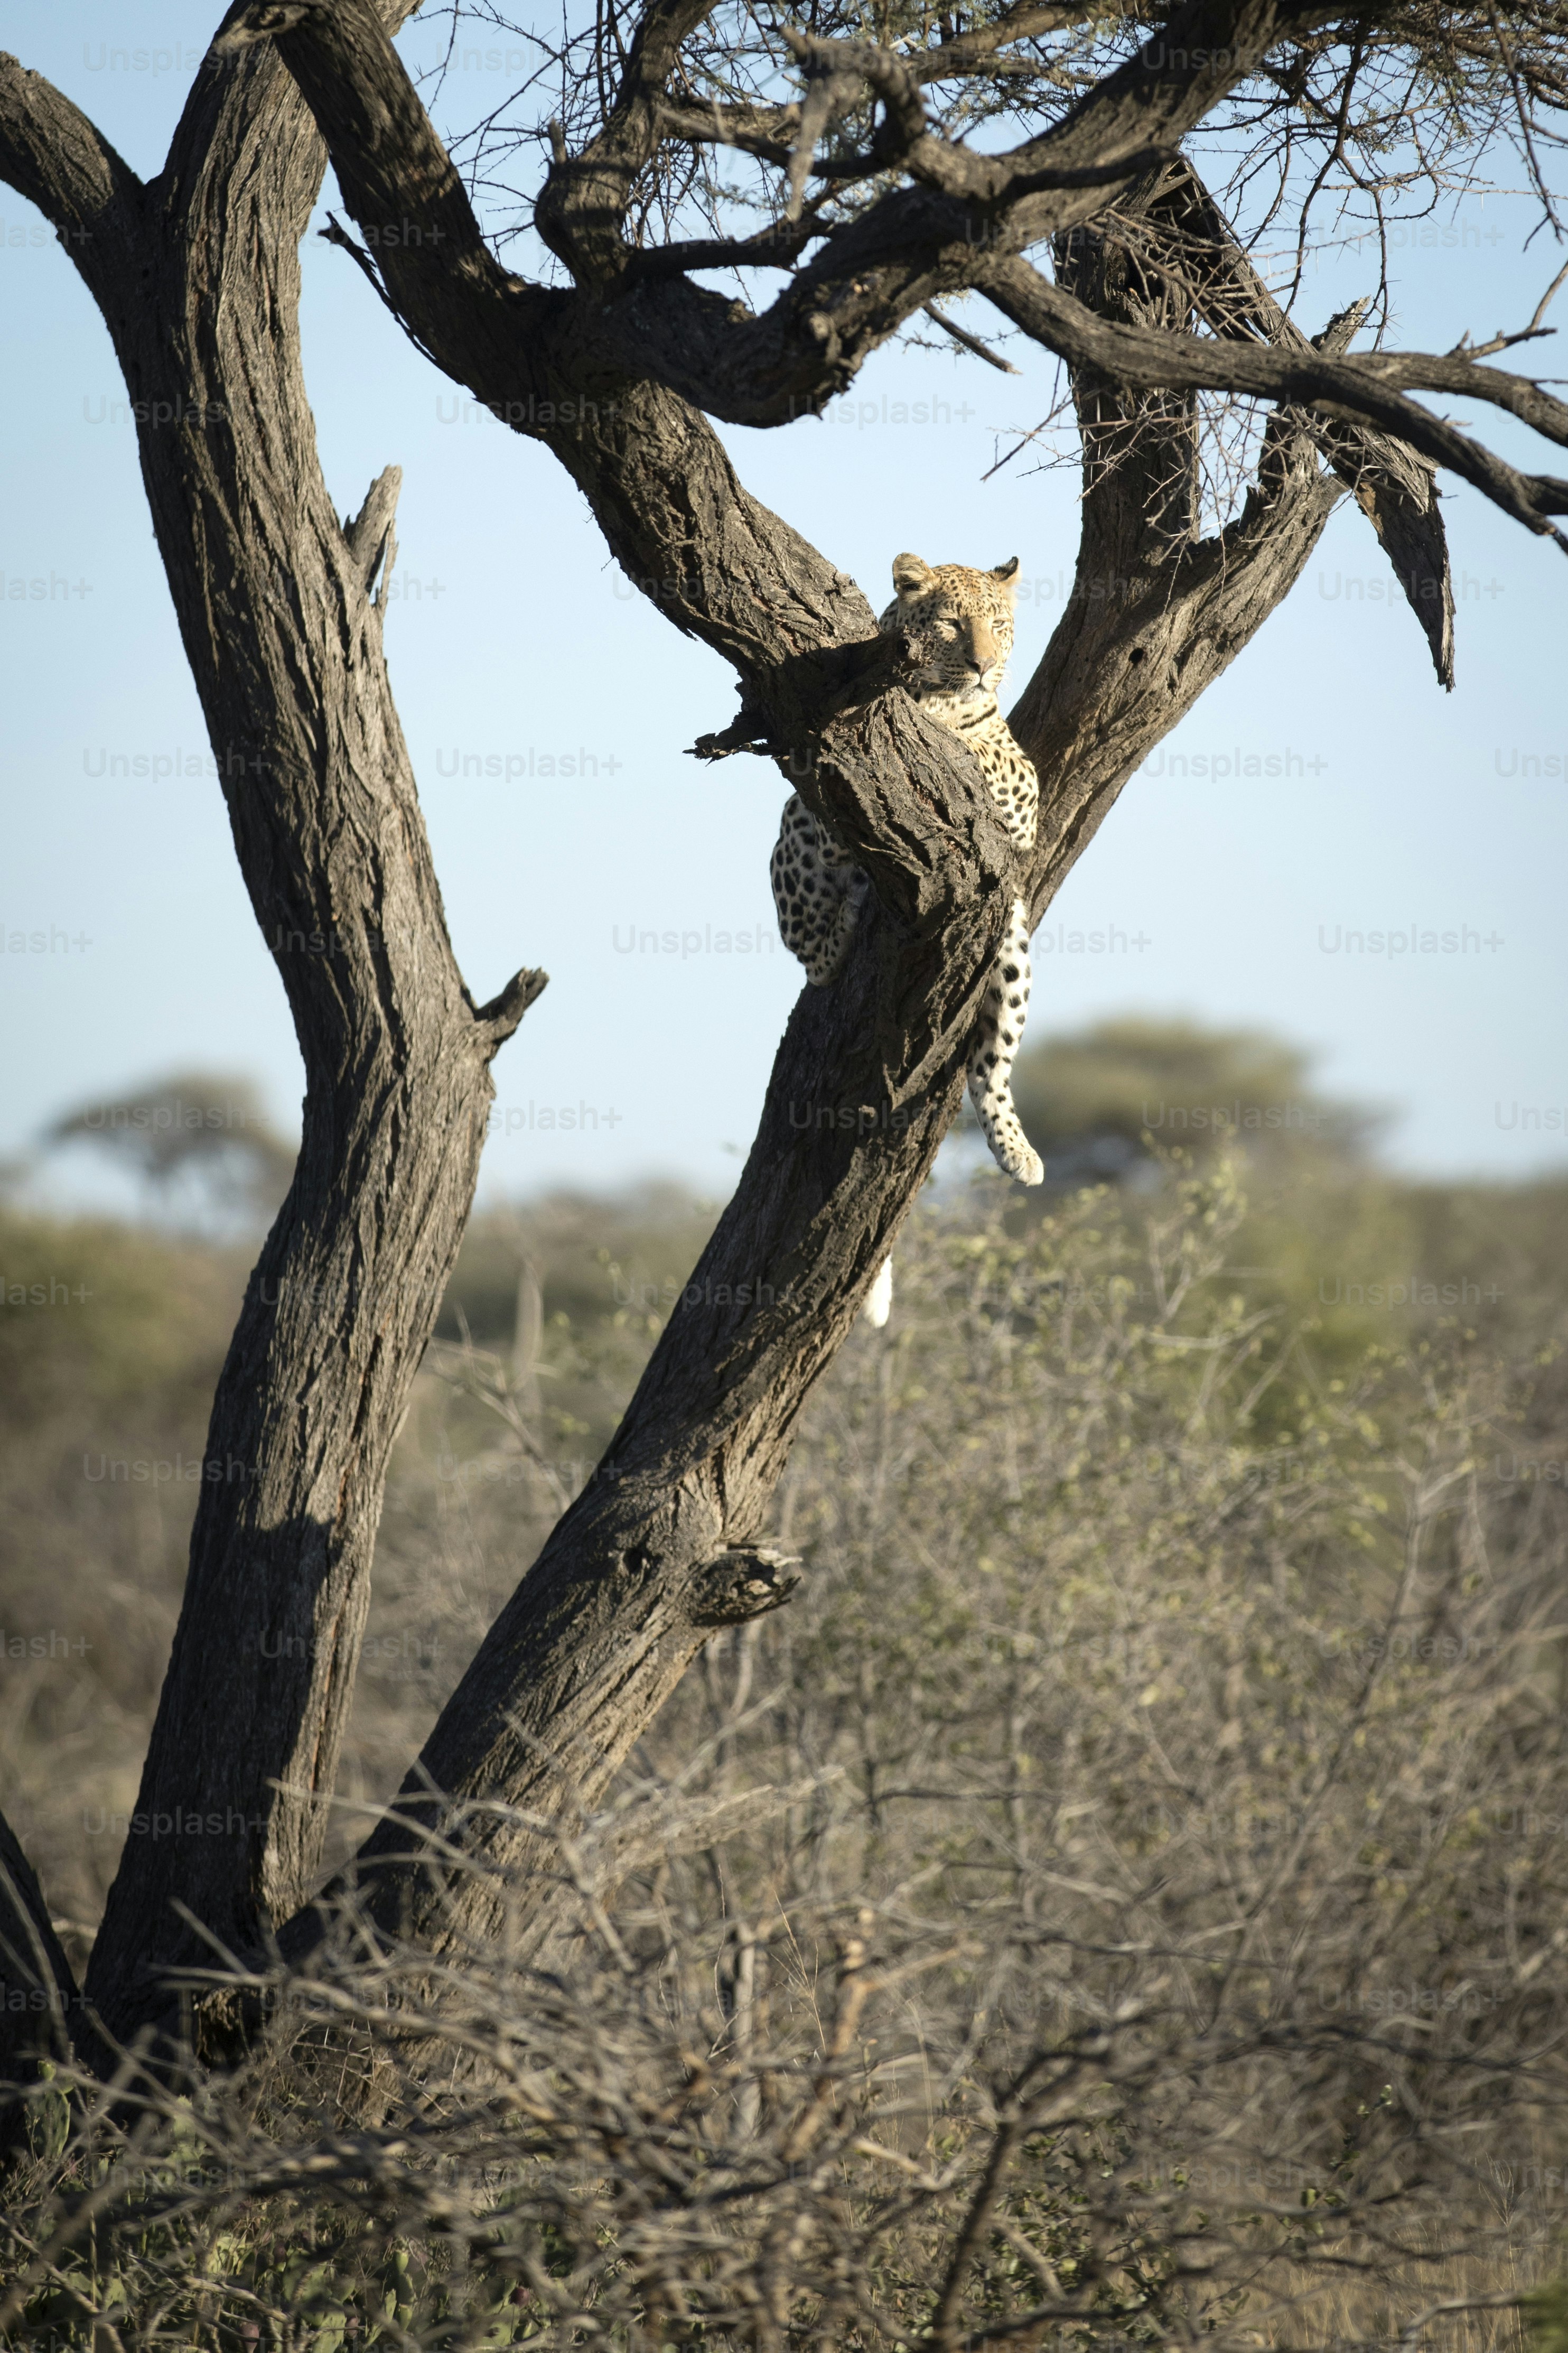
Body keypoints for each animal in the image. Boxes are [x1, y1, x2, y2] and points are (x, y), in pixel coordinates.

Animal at [770, 552, 1046, 1232]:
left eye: (998, 625)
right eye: (951, 623)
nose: (982, 666)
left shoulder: (1023, 792)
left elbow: (981, 753)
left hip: (1011, 933)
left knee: (992, 1062)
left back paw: (1016, 1148)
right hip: (793, 849)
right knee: (812, 953)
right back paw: (843, 919)